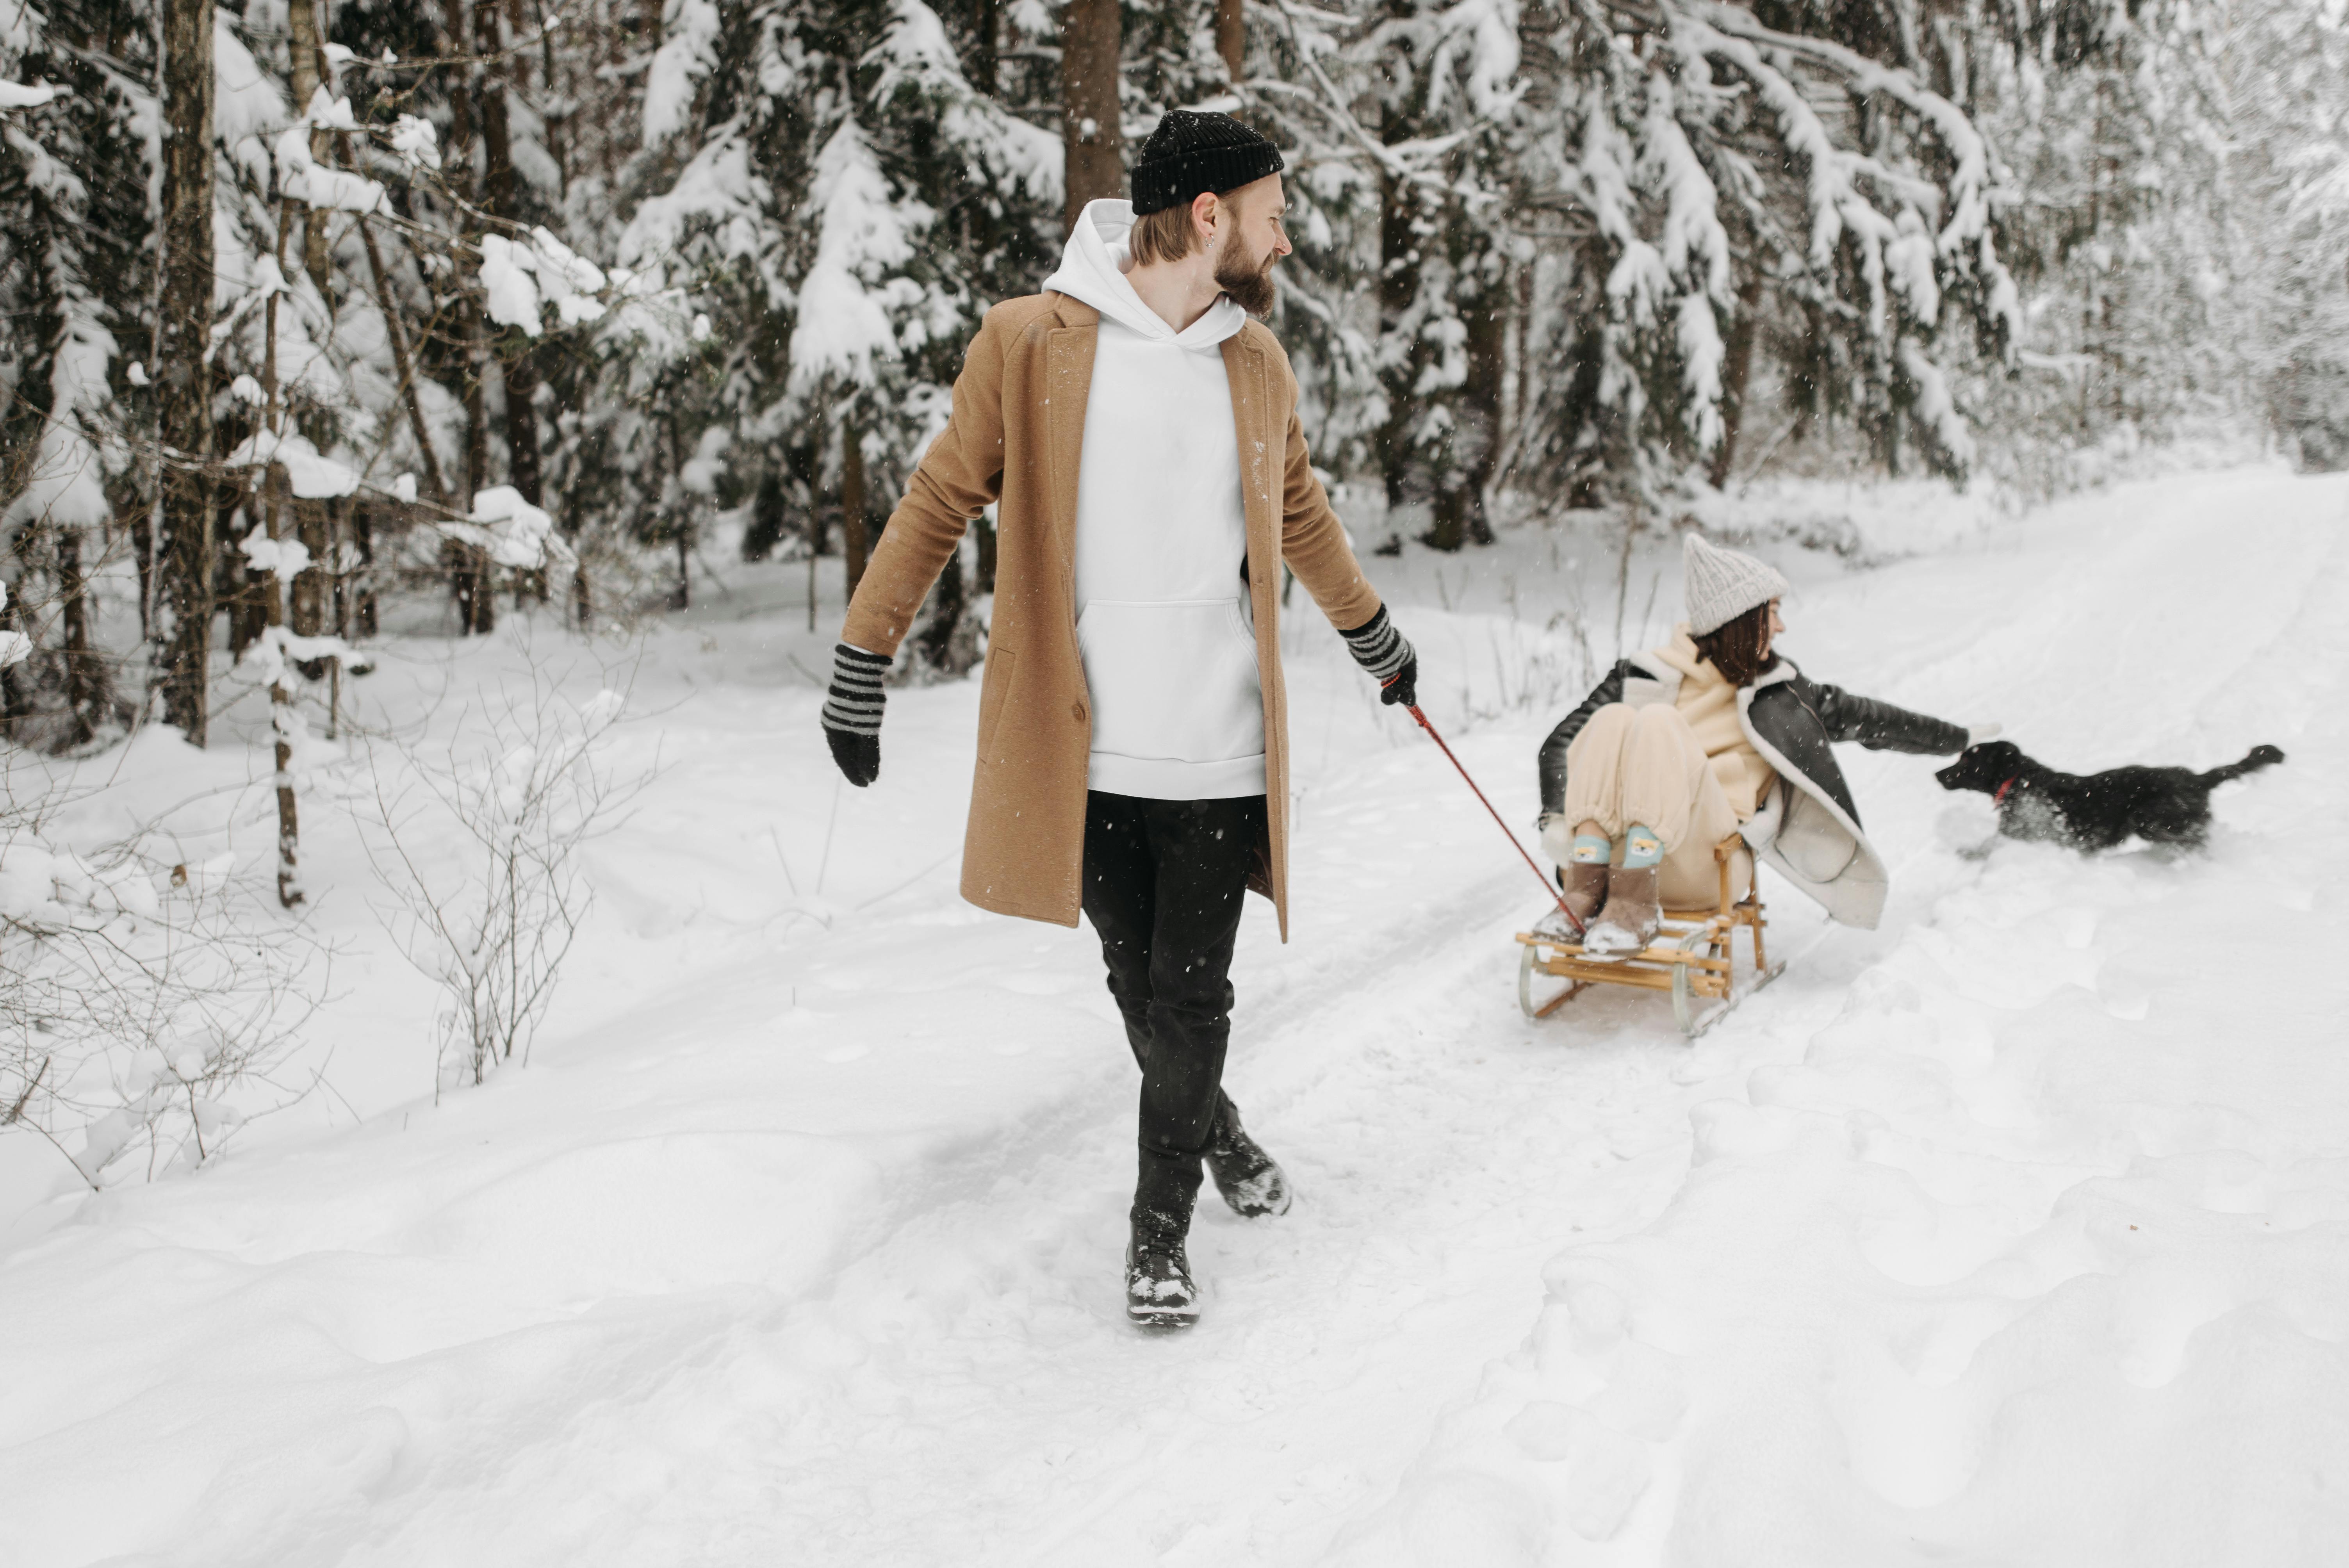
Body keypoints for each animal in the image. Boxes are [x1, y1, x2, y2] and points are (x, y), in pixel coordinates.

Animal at [1936, 737, 2283, 850]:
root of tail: (2197, 779)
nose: (1938, 774)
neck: (2019, 782)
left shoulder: (2030, 832)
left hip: (2152, 819)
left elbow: (1987, 847)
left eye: (1967, 761)